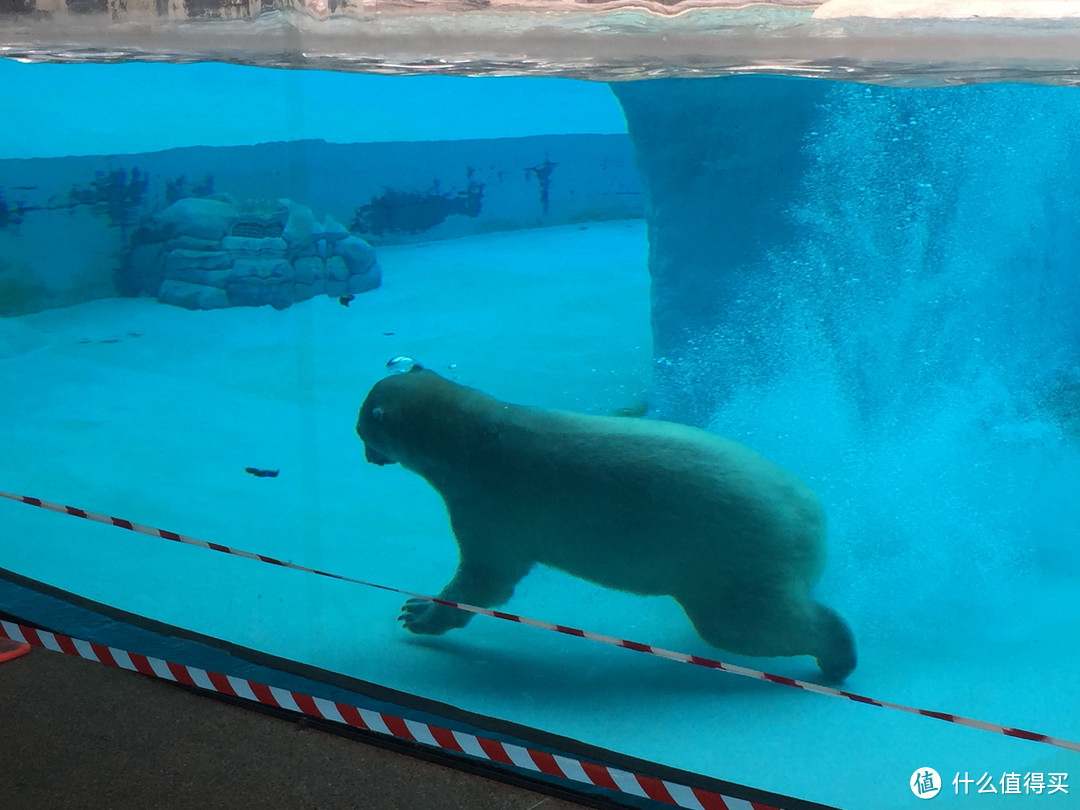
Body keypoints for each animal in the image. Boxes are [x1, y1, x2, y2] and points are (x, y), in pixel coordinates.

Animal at [358, 367, 855, 686]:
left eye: (363, 427)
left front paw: (418, 613)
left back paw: (837, 657)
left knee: (743, 624)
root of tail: (813, 517)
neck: (475, 430)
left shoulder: (489, 504)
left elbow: (485, 579)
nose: (365, 452)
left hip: (731, 557)